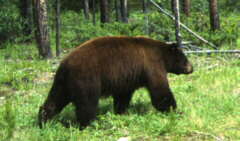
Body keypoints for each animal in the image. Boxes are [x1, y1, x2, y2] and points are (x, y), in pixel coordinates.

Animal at [38, 35, 193, 128]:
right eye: (185, 58)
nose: (192, 68)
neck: (162, 55)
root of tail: (65, 63)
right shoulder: (152, 65)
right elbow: (160, 90)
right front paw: (176, 111)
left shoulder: (126, 77)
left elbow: (123, 95)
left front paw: (121, 111)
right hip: (86, 78)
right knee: (87, 103)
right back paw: (89, 123)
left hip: (63, 83)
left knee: (55, 99)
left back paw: (43, 121)